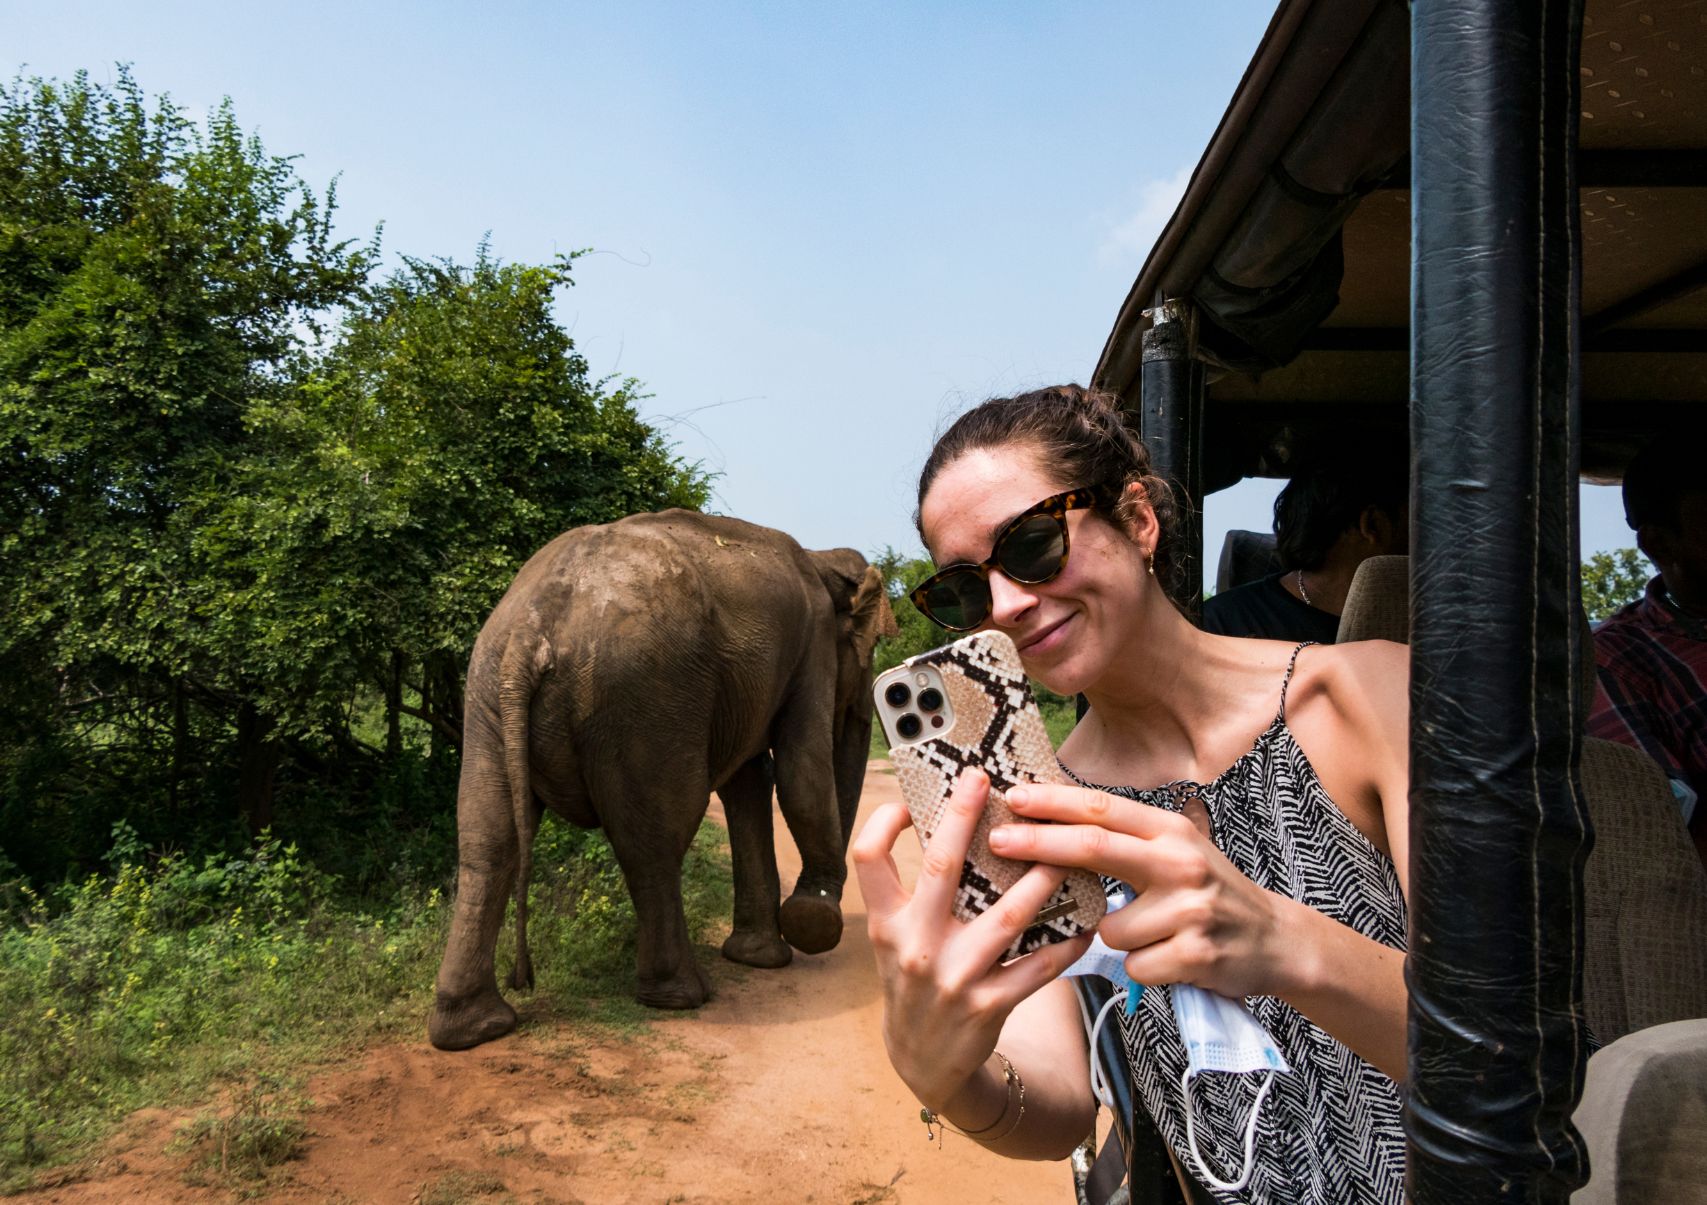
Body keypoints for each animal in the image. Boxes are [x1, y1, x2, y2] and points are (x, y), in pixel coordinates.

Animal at [426, 512, 901, 1044]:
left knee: (488, 842)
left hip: (487, 692)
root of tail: (533, 632)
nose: (819, 904)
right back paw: (683, 995)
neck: (822, 559)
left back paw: (474, 1028)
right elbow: (801, 771)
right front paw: (809, 922)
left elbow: (750, 782)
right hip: (643, 699)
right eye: (872, 646)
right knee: (653, 841)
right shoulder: (812, 648)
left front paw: (760, 957)